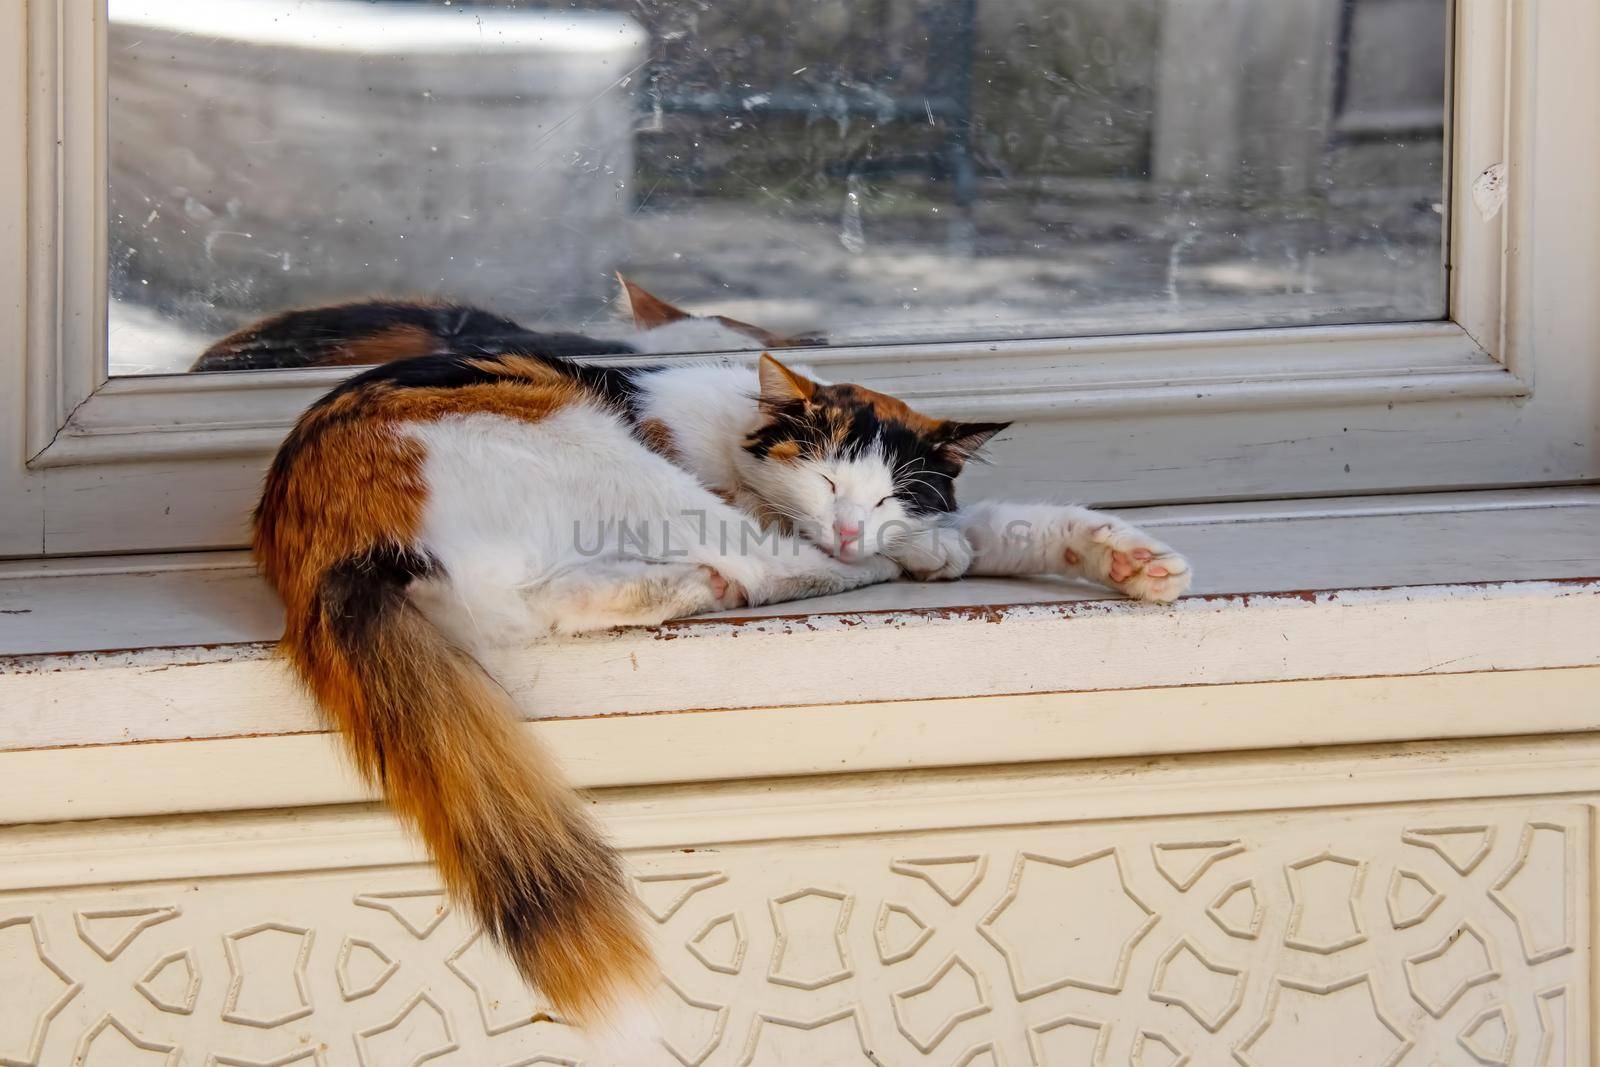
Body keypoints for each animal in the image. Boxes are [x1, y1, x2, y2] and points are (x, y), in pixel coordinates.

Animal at [249, 279, 1196, 1049]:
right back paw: (824, 569)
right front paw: (931, 551)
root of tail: (318, 550)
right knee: (755, 558)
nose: (852, 527)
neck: (738, 427)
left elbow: (1005, 519)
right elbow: (929, 535)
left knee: (548, 600)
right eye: (829, 482)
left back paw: (684, 586)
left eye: (890, 491)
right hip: (585, 440)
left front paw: (1130, 560)